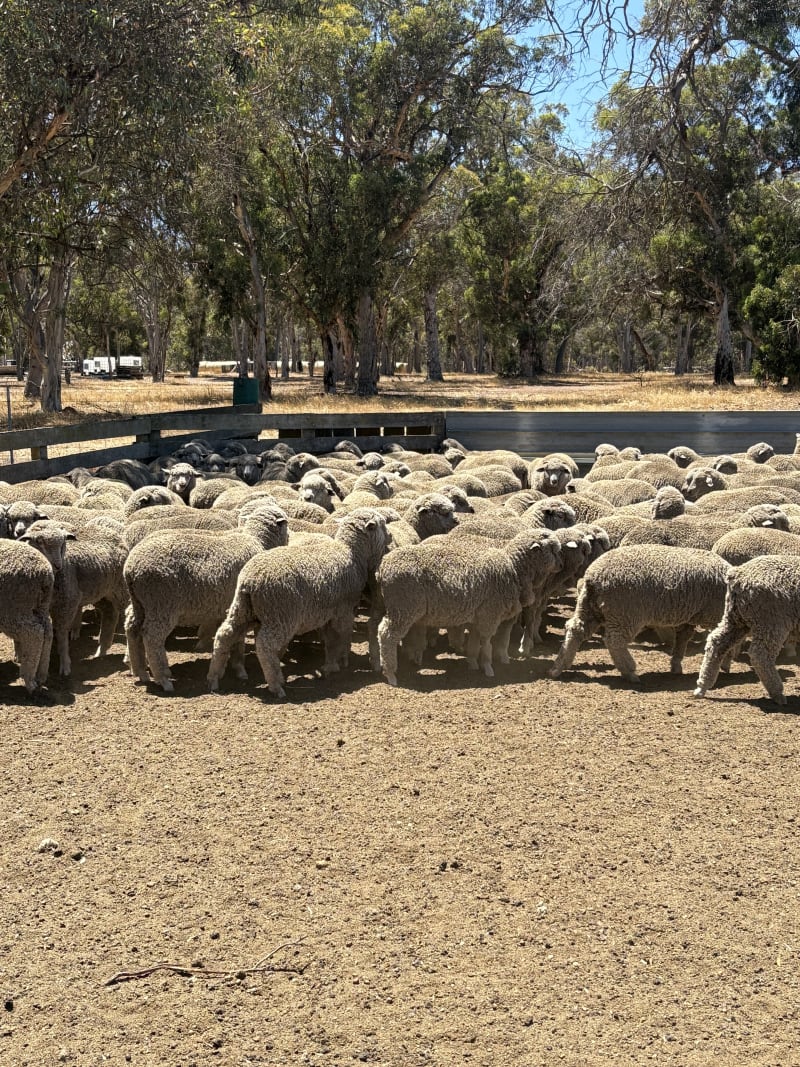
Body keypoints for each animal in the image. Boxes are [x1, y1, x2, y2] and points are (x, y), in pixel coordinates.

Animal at [124, 503, 290, 692]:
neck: (257, 540)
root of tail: (130, 569)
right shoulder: (239, 607)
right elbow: (238, 640)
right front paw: (239, 668)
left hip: (140, 603)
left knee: (132, 627)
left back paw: (140, 671)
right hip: (161, 604)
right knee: (152, 637)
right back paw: (163, 679)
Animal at [207, 509, 390, 696]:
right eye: (382, 523)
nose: (390, 537)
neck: (352, 552)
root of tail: (250, 581)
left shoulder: (328, 612)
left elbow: (330, 640)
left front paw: (330, 664)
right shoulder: (344, 610)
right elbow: (343, 635)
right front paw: (343, 659)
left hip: (242, 608)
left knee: (225, 634)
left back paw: (214, 677)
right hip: (280, 615)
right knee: (265, 646)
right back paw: (276, 685)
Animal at [376, 527, 562, 686]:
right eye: (553, 549)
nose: (560, 565)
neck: (514, 567)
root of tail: (383, 567)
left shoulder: (478, 615)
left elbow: (474, 642)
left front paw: (473, 662)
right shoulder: (490, 615)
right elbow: (486, 643)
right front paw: (488, 667)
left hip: (404, 608)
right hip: (403, 608)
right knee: (386, 635)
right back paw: (390, 673)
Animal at [549, 545, 731, 682]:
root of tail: (592, 577)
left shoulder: (689, 616)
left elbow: (683, 638)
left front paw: (676, 664)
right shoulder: (716, 615)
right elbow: (726, 643)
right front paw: (725, 664)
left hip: (589, 607)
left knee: (575, 629)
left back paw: (559, 666)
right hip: (625, 613)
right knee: (614, 641)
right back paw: (629, 672)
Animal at [694, 556, 800, 704]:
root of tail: (738, 574)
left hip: (736, 618)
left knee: (716, 642)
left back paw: (702, 685)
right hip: (771, 621)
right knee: (760, 655)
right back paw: (777, 693)